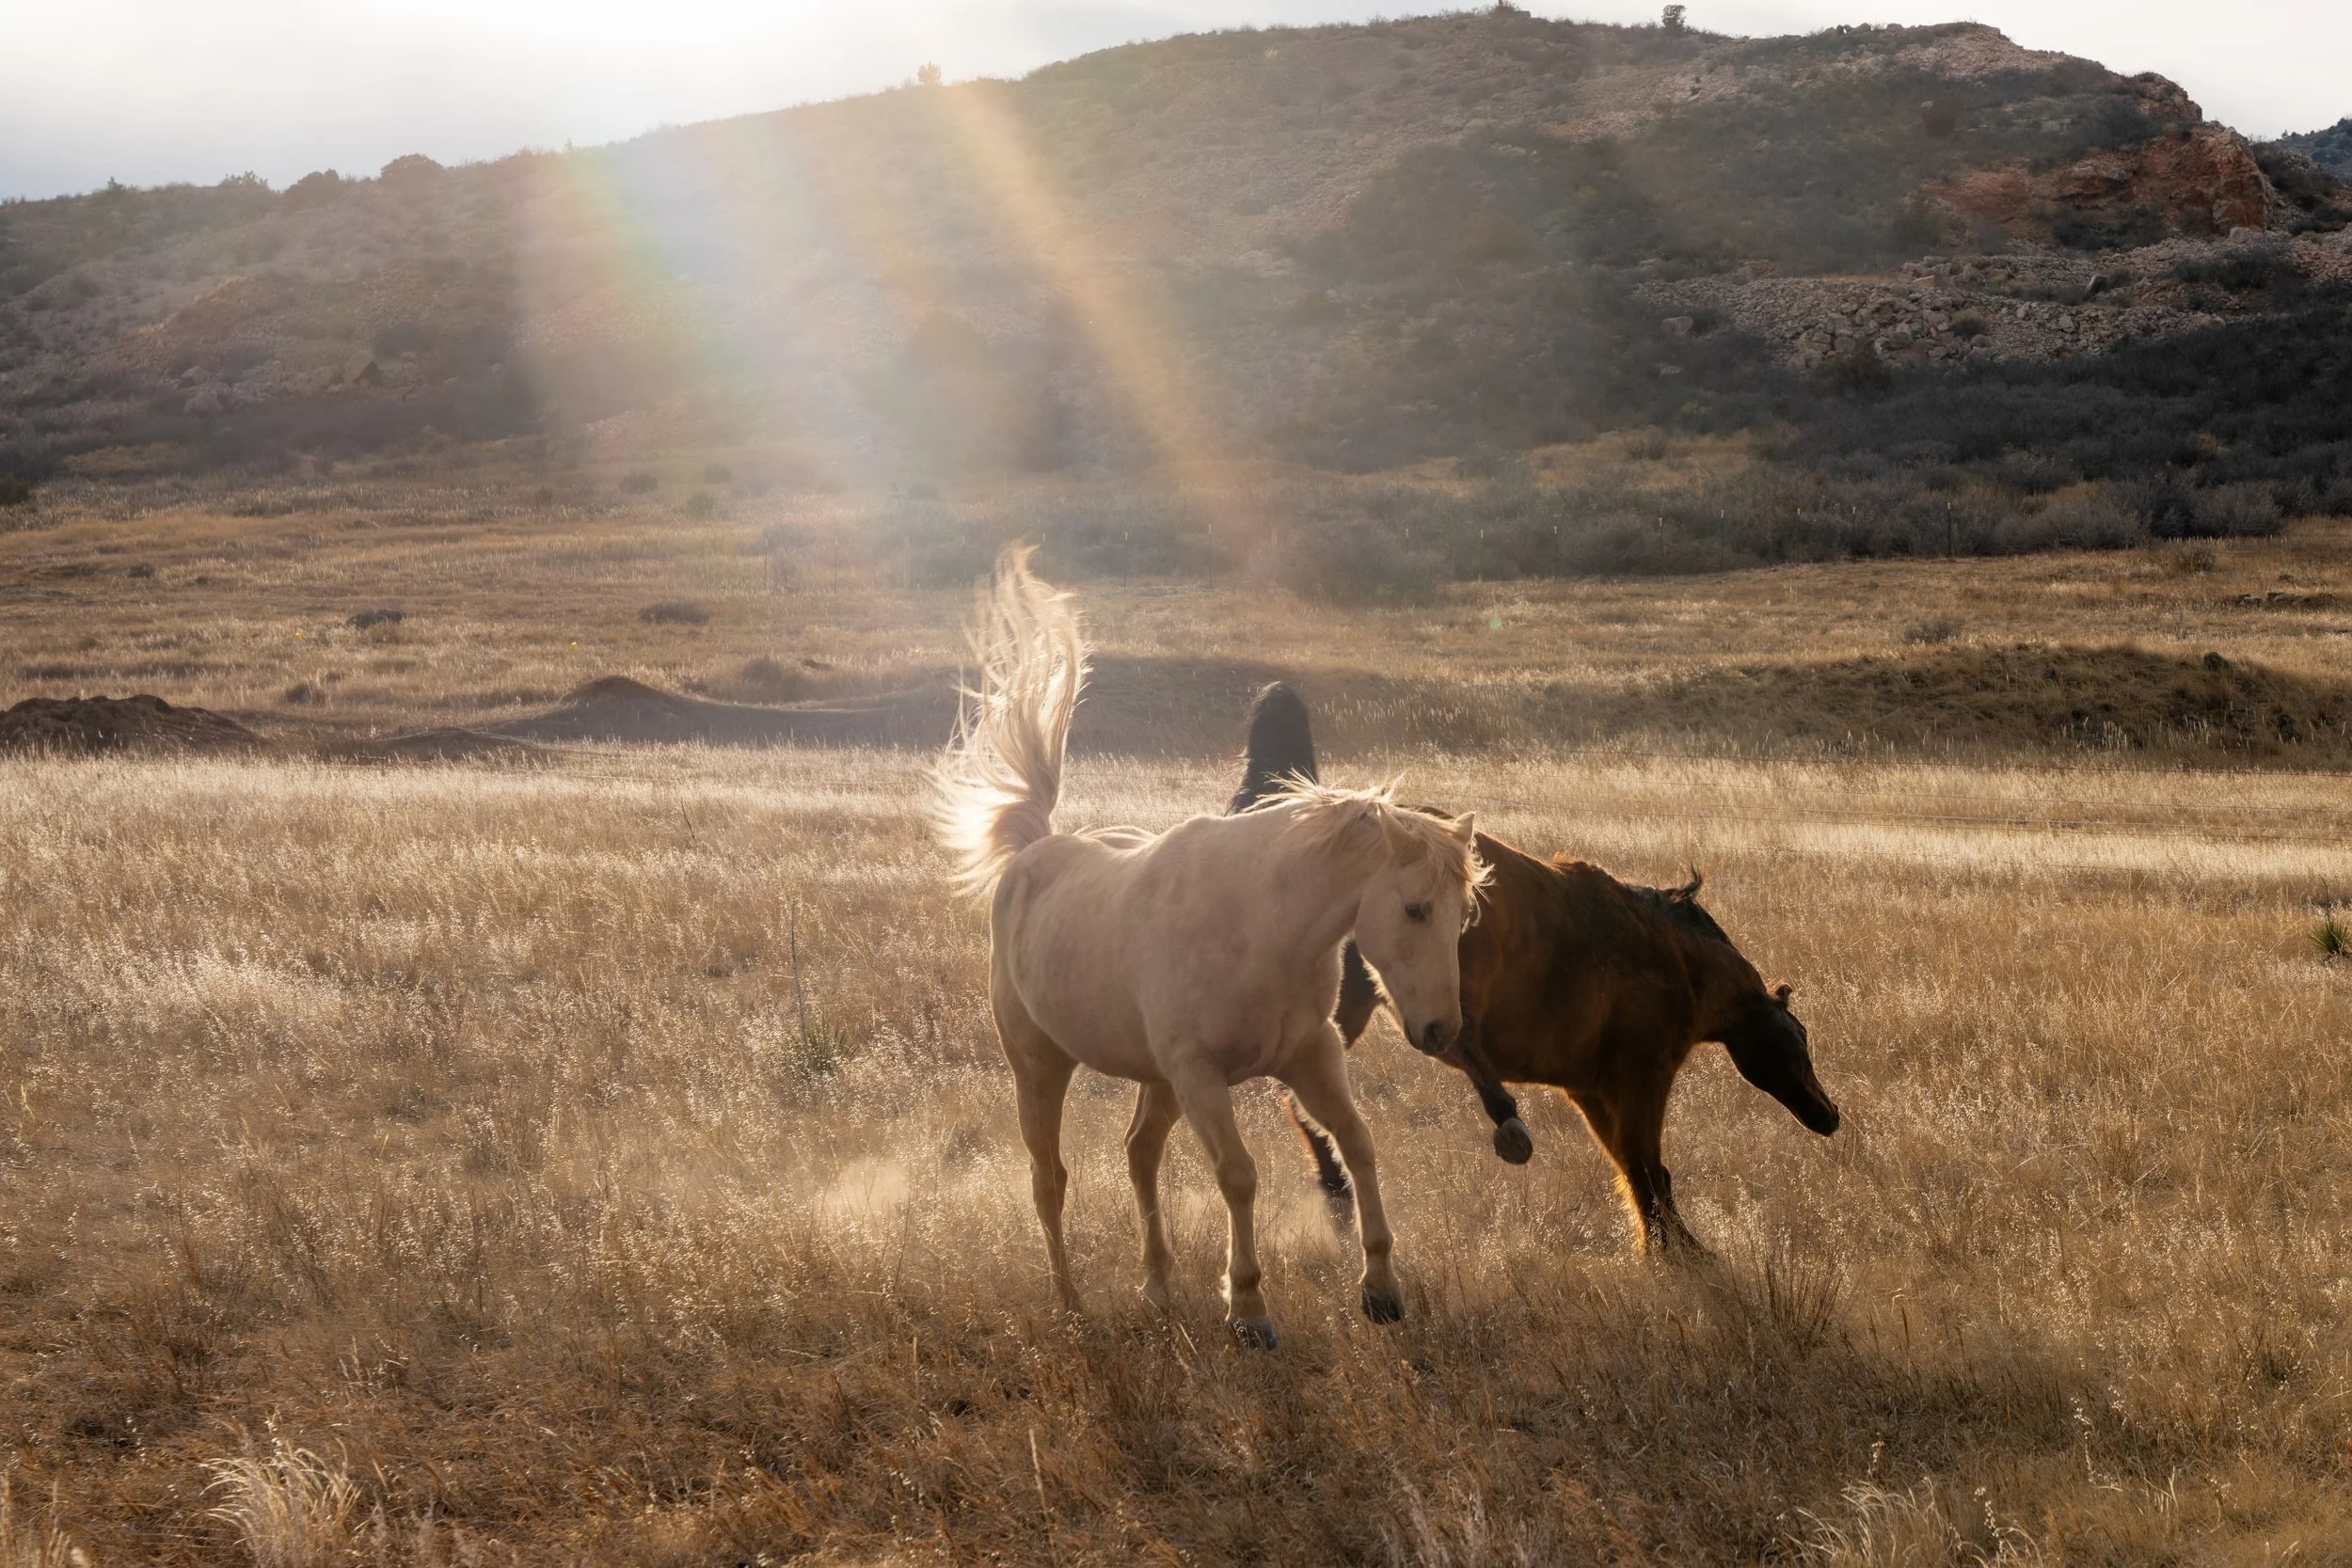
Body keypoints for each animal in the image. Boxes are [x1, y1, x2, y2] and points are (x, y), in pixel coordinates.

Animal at [935, 553, 1487, 1345]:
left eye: (1464, 915)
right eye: (1414, 908)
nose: (1442, 1028)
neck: (1259, 927)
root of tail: (1033, 854)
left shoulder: (1310, 1055)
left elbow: (1356, 1144)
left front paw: (1381, 1287)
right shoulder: (1200, 1076)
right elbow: (1238, 1173)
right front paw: (1249, 1307)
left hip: (1154, 1080)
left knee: (1139, 1154)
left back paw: (1160, 1288)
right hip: (1040, 1067)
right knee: (1050, 1180)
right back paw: (1071, 1304)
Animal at [1228, 683, 1840, 1254]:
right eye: (1798, 1041)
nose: (1829, 1115)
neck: (1674, 961)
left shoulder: (1591, 1090)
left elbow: (1634, 1169)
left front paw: (1666, 1245)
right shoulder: (1641, 1079)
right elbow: (1648, 1167)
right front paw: (1676, 1252)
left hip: (1347, 1005)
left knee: (1308, 1091)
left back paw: (1337, 1185)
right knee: (1446, 1044)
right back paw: (1504, 1126)